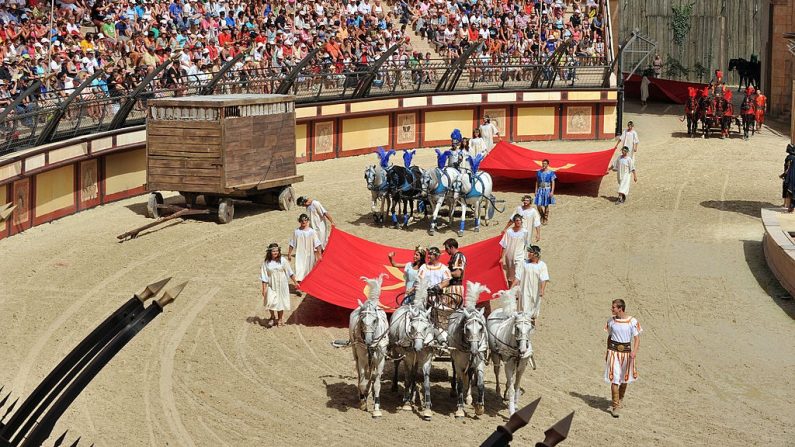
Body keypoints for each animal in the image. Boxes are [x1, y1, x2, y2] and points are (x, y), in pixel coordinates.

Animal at [350, 274, 390, 418]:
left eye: (375, 320)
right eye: (362, 320)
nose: (368, 340)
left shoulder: (380, 358)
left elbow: (377, 383)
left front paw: (377, 408)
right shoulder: (362, 358)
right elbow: (362, 379)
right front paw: (363, 402)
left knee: (371, 375)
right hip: (356, 354)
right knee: (362, 375)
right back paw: (363, 394)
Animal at [388, 284, 436, 420]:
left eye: (426, 327)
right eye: (413, 327)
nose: (418, 347)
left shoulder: (426, 357)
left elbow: (426, 381)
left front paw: (427, 409)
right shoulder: (408, 356)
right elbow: (407, 377)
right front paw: (407, 403)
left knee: (414, 371)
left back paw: (413, 391)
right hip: (396, 349)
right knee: (399, 366)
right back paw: (396, 387)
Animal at [448, 282, 492, 418]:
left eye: (481, 328)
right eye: (467, 329)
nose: (474, 350)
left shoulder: (479, 362)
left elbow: (480, 383)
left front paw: (480, 407)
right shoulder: (458, 363)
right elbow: (460, 383)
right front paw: (460, 409)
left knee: (470, 374)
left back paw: (468, 397)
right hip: (454, 359)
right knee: (456, 374)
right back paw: (454, 391)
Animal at [488, 288, 536, 416]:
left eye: (530, 328)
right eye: (517, 328)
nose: (523, 350)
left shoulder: (522, 367)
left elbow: (516, 386)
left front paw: (516, 405)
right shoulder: (508, 365)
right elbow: (512, 389)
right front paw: (511, 410)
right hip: (495, 356)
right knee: (497, 372)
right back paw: (498, 392)